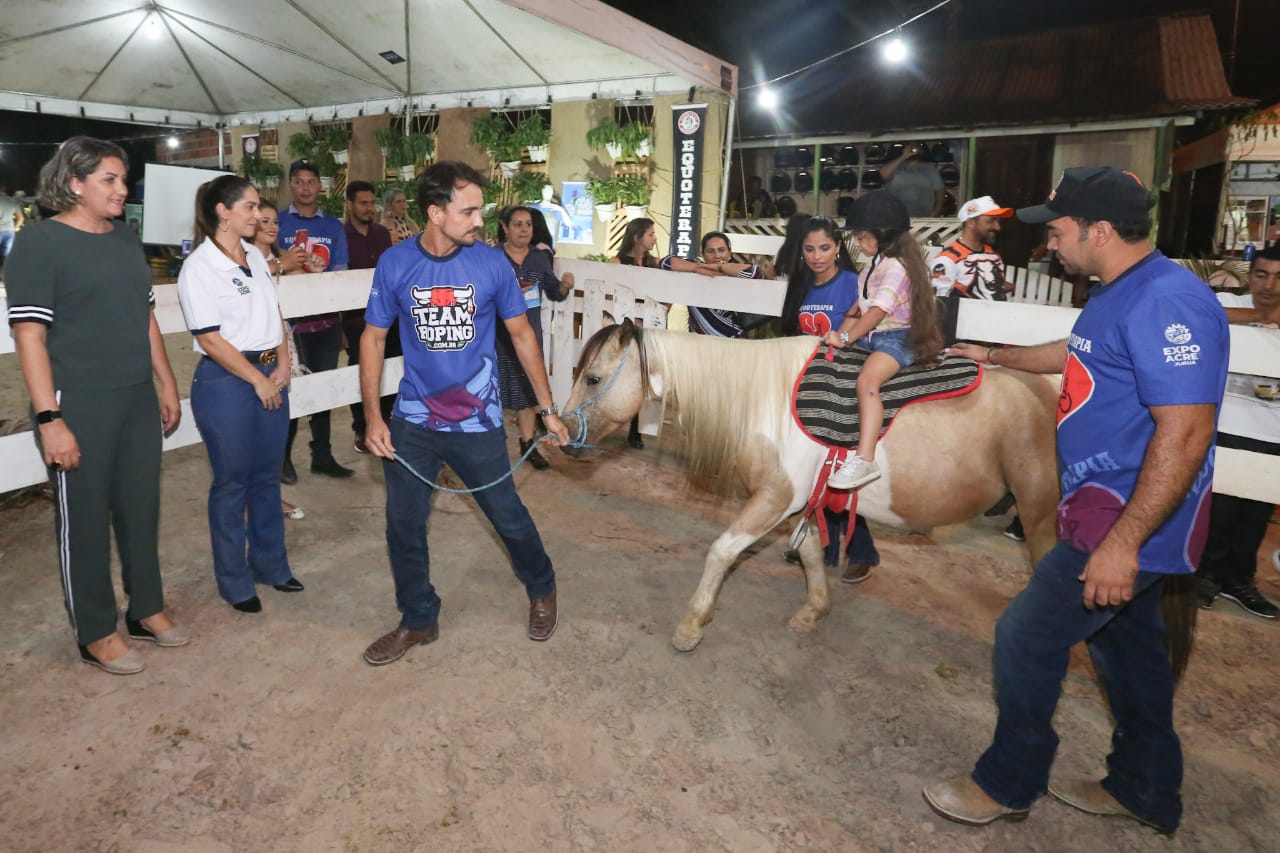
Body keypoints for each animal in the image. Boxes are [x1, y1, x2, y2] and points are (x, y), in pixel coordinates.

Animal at [563, 320, 1059, 650]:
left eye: (592, 377)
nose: (561, 432)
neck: (767, 397)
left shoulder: (775, 498)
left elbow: (722, 550)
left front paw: (692, 623)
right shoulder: (800, 503)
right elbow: (809, 552)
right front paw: (814, 609)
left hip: (1042, 518)